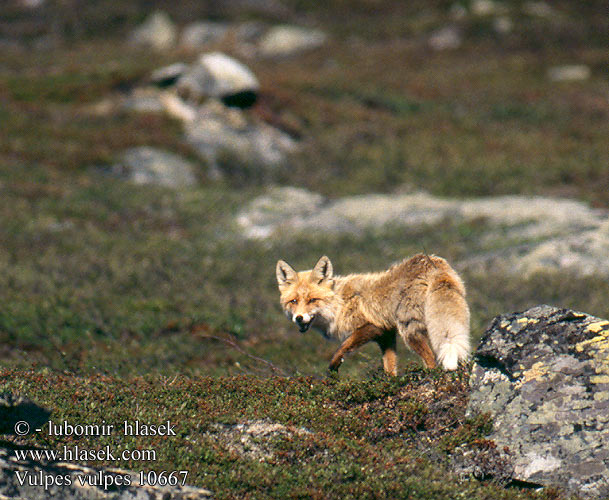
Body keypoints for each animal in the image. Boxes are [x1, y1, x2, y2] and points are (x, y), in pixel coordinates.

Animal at [276, 254, 470, 376]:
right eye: (294, 301)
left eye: (312, 300)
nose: (299, 318)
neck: (340, 303)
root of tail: (430, 262)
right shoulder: (386, 334)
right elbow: (390, 365)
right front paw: (390, 384)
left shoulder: (373, 326)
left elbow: (343, 347)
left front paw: (333, 368)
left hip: (408, 331)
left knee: (431, 360)